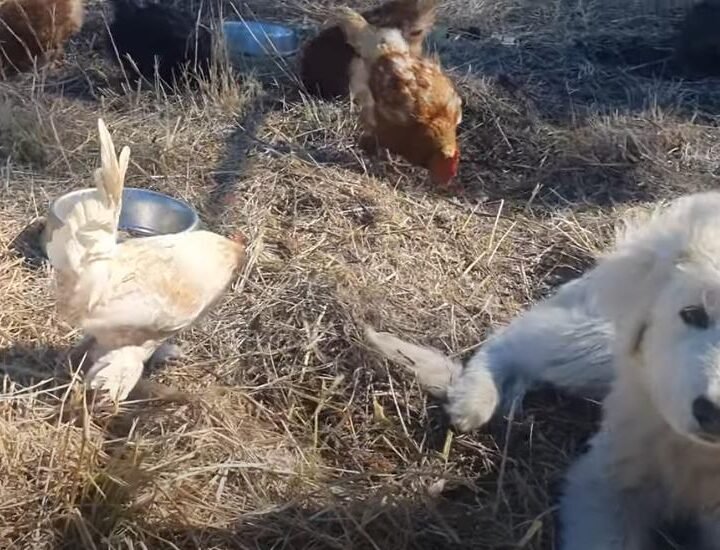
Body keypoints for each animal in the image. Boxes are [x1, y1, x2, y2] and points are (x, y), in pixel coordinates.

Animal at [366, 193, 720, 548]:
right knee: (512, 339)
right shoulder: (603, 479)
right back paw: (470, 402)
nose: (710, 413)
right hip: (596, 342)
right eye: (693, 314)